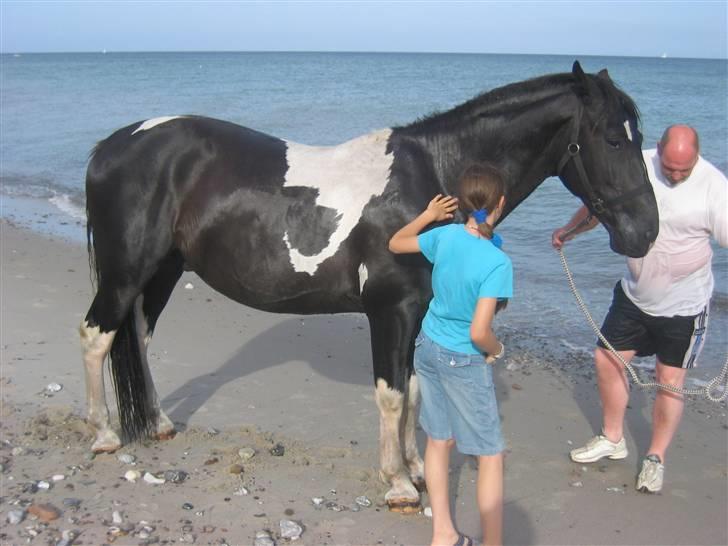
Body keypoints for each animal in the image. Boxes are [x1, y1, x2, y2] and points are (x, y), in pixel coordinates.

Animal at [81, 62, 660, 510]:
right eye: (613, 138)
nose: (646, 232)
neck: (431, 179)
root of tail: (111, 147)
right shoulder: (391, 310)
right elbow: (391, 394)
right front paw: (399, 484)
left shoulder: (418, 313)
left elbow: (414, 391)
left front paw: (416, 469)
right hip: (127, 271)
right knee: (96, 336)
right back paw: (104, 434)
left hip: (163, 272)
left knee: (139, 338)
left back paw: (158, 423)